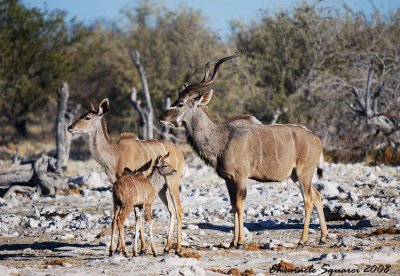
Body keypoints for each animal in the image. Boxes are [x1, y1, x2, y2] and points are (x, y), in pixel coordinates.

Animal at [69, 98, 186, 254]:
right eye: (81, 114)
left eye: (87, 117)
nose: (70, 127)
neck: (115, 154)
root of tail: (179, 152)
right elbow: (122, 217)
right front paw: (132, 248)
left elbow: (135, 216)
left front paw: (131, 248)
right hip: (162, 189)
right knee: (171, 211)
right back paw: (167, 247)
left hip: (173, 184)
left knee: (178, 210)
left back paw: (178, 248)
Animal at [159, 52, 328, 247]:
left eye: (180, 104)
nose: (161, 117)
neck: (223, 138)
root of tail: (316, 139)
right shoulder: (228, 180)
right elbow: (233, 207)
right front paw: (233, 241)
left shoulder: (241, 178)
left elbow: (240, 206)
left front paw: (239, 241)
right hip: (296, 176)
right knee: (317, 195)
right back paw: (323, 236)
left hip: (303, 174)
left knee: (308, 199)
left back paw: (303, 239)